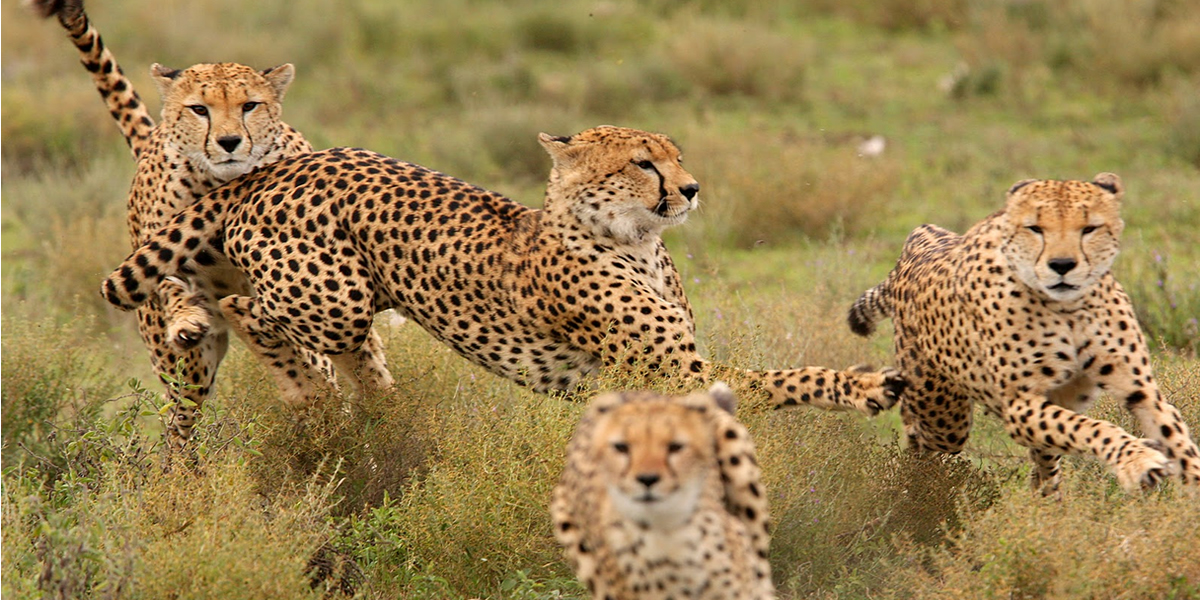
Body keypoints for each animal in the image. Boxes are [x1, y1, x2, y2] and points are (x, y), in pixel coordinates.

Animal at [32, 0, 350, 451]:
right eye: (200, 109)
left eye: (250, 105)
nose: (230, 142)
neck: (224, 183)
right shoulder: (161, 263)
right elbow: (172, 287)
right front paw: (187, 321)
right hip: (185, 373)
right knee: (180, 422)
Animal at [103, 125, 902, 417]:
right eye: (644, 163)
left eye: (676, 155)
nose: (693, 188)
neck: (636, 241)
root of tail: (282, 166)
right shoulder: (676, 373)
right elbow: (783, 377)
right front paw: (863, 384)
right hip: (336, 297)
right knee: (246, 310)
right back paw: (302, 386)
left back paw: (380, 411)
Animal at [849, 172, 1200, 492]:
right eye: (1035, 228)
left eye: (1089, 228)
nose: (1062, 265)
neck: (1068, 308)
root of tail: (921, 238)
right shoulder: (1020, 405)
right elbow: (1090, 428)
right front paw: (1138, 460)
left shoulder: (1141, 390)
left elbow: (1174, 435)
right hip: (943, 418)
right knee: (916, 434)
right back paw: (911, 479)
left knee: (1044, 462)